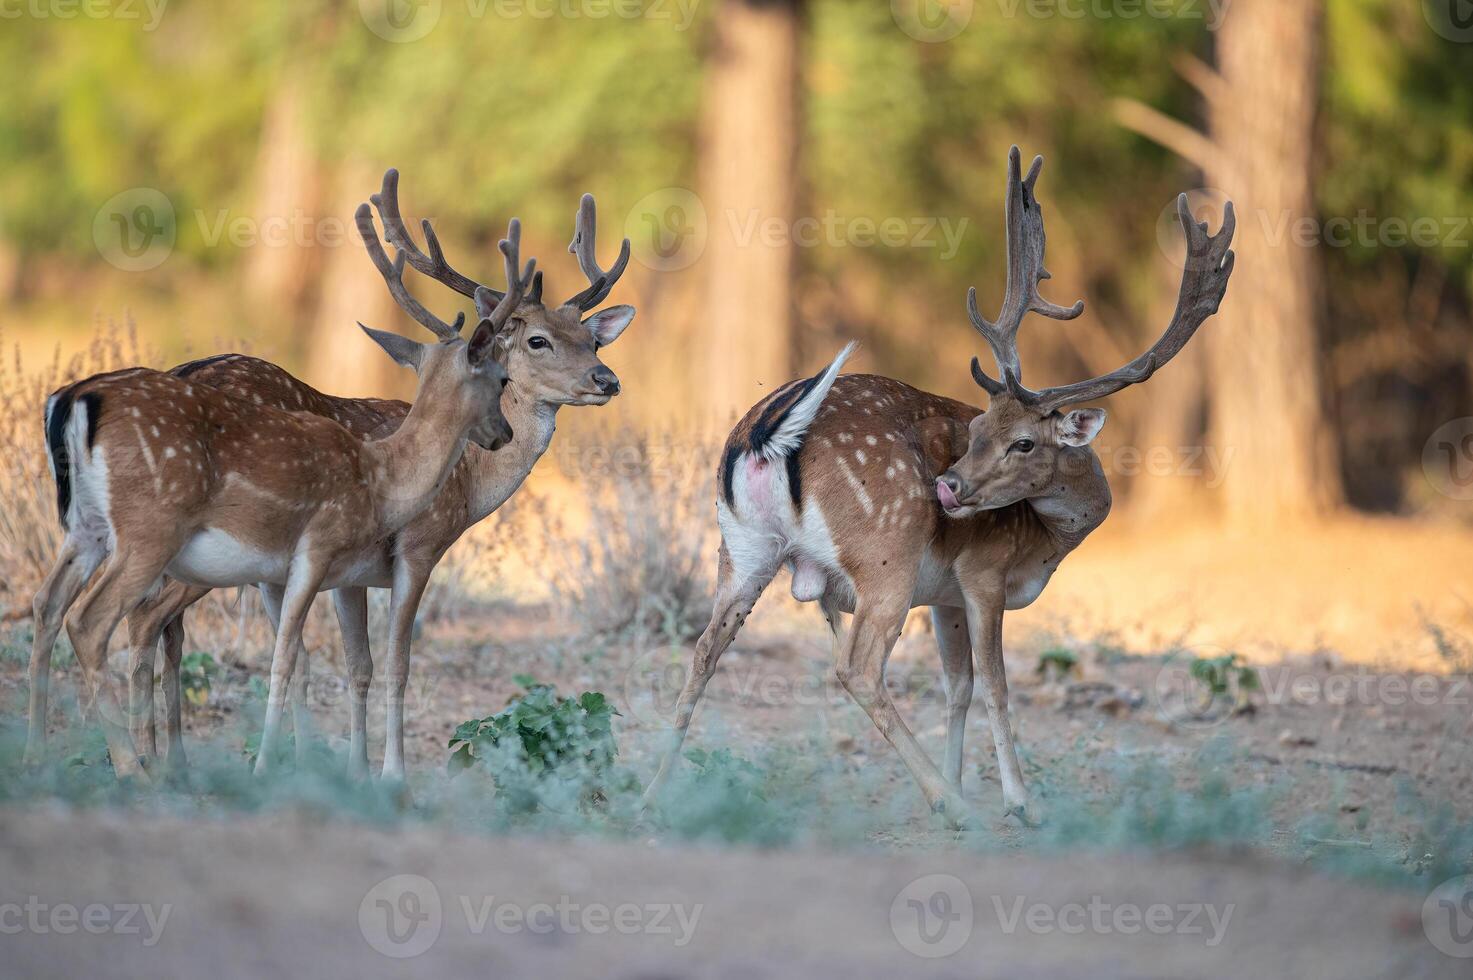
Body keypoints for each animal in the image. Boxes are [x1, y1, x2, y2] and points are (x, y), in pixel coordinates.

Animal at [24, 193, 536, 772]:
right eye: (502, 379)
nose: (503, 433)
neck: (379, 477)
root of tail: (70, 400)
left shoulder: (278, 572)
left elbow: (306, 658)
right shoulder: (318, 548)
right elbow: (289, 657)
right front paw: (272, 766)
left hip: (84, 528)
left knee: (48, 603)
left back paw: (39, 753)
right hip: (149, 528)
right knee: (92, 622)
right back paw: (134, 767)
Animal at [96, 170, 627, 778]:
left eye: (592, 338)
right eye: (539, 340)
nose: (607, 379)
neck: (468, 483)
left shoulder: (347, 575)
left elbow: (357, 666)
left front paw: (352, 771)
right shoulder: (418, 546)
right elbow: (397, 662)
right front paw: (392, 774)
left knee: (155, 626)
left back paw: (164, 760)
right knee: (140, 619)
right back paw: (146, 760)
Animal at [645, 145, 1231, 819]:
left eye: (1017, 439)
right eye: (979, 429)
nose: (948, 487)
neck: (1047, 544)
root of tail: (764, 436)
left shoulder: (945, 595)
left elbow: (959, 686)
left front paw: (959, 778)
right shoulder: (981, 571)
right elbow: (997, 685)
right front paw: (1016, 799)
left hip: (740, 549)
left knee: (704, 650)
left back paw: (653, 791)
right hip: (886, 552)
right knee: (857, 667)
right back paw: (950, 804)